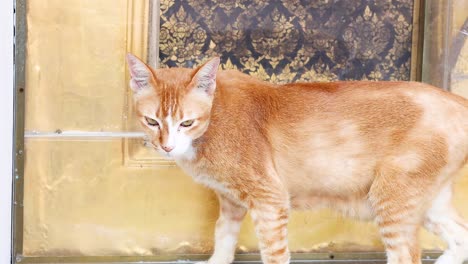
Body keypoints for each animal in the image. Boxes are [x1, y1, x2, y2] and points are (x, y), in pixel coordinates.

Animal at [125, 53, 468, 264]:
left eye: (186, 123)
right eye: (152, 122)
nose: (166, 147)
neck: (215, 116)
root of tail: (455, 99)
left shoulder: (270, 200)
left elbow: (274, 253)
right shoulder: (231, 201)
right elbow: (223, 237)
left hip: (391, 200)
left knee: (407, 255)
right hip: (426, 202)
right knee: (462, 238)